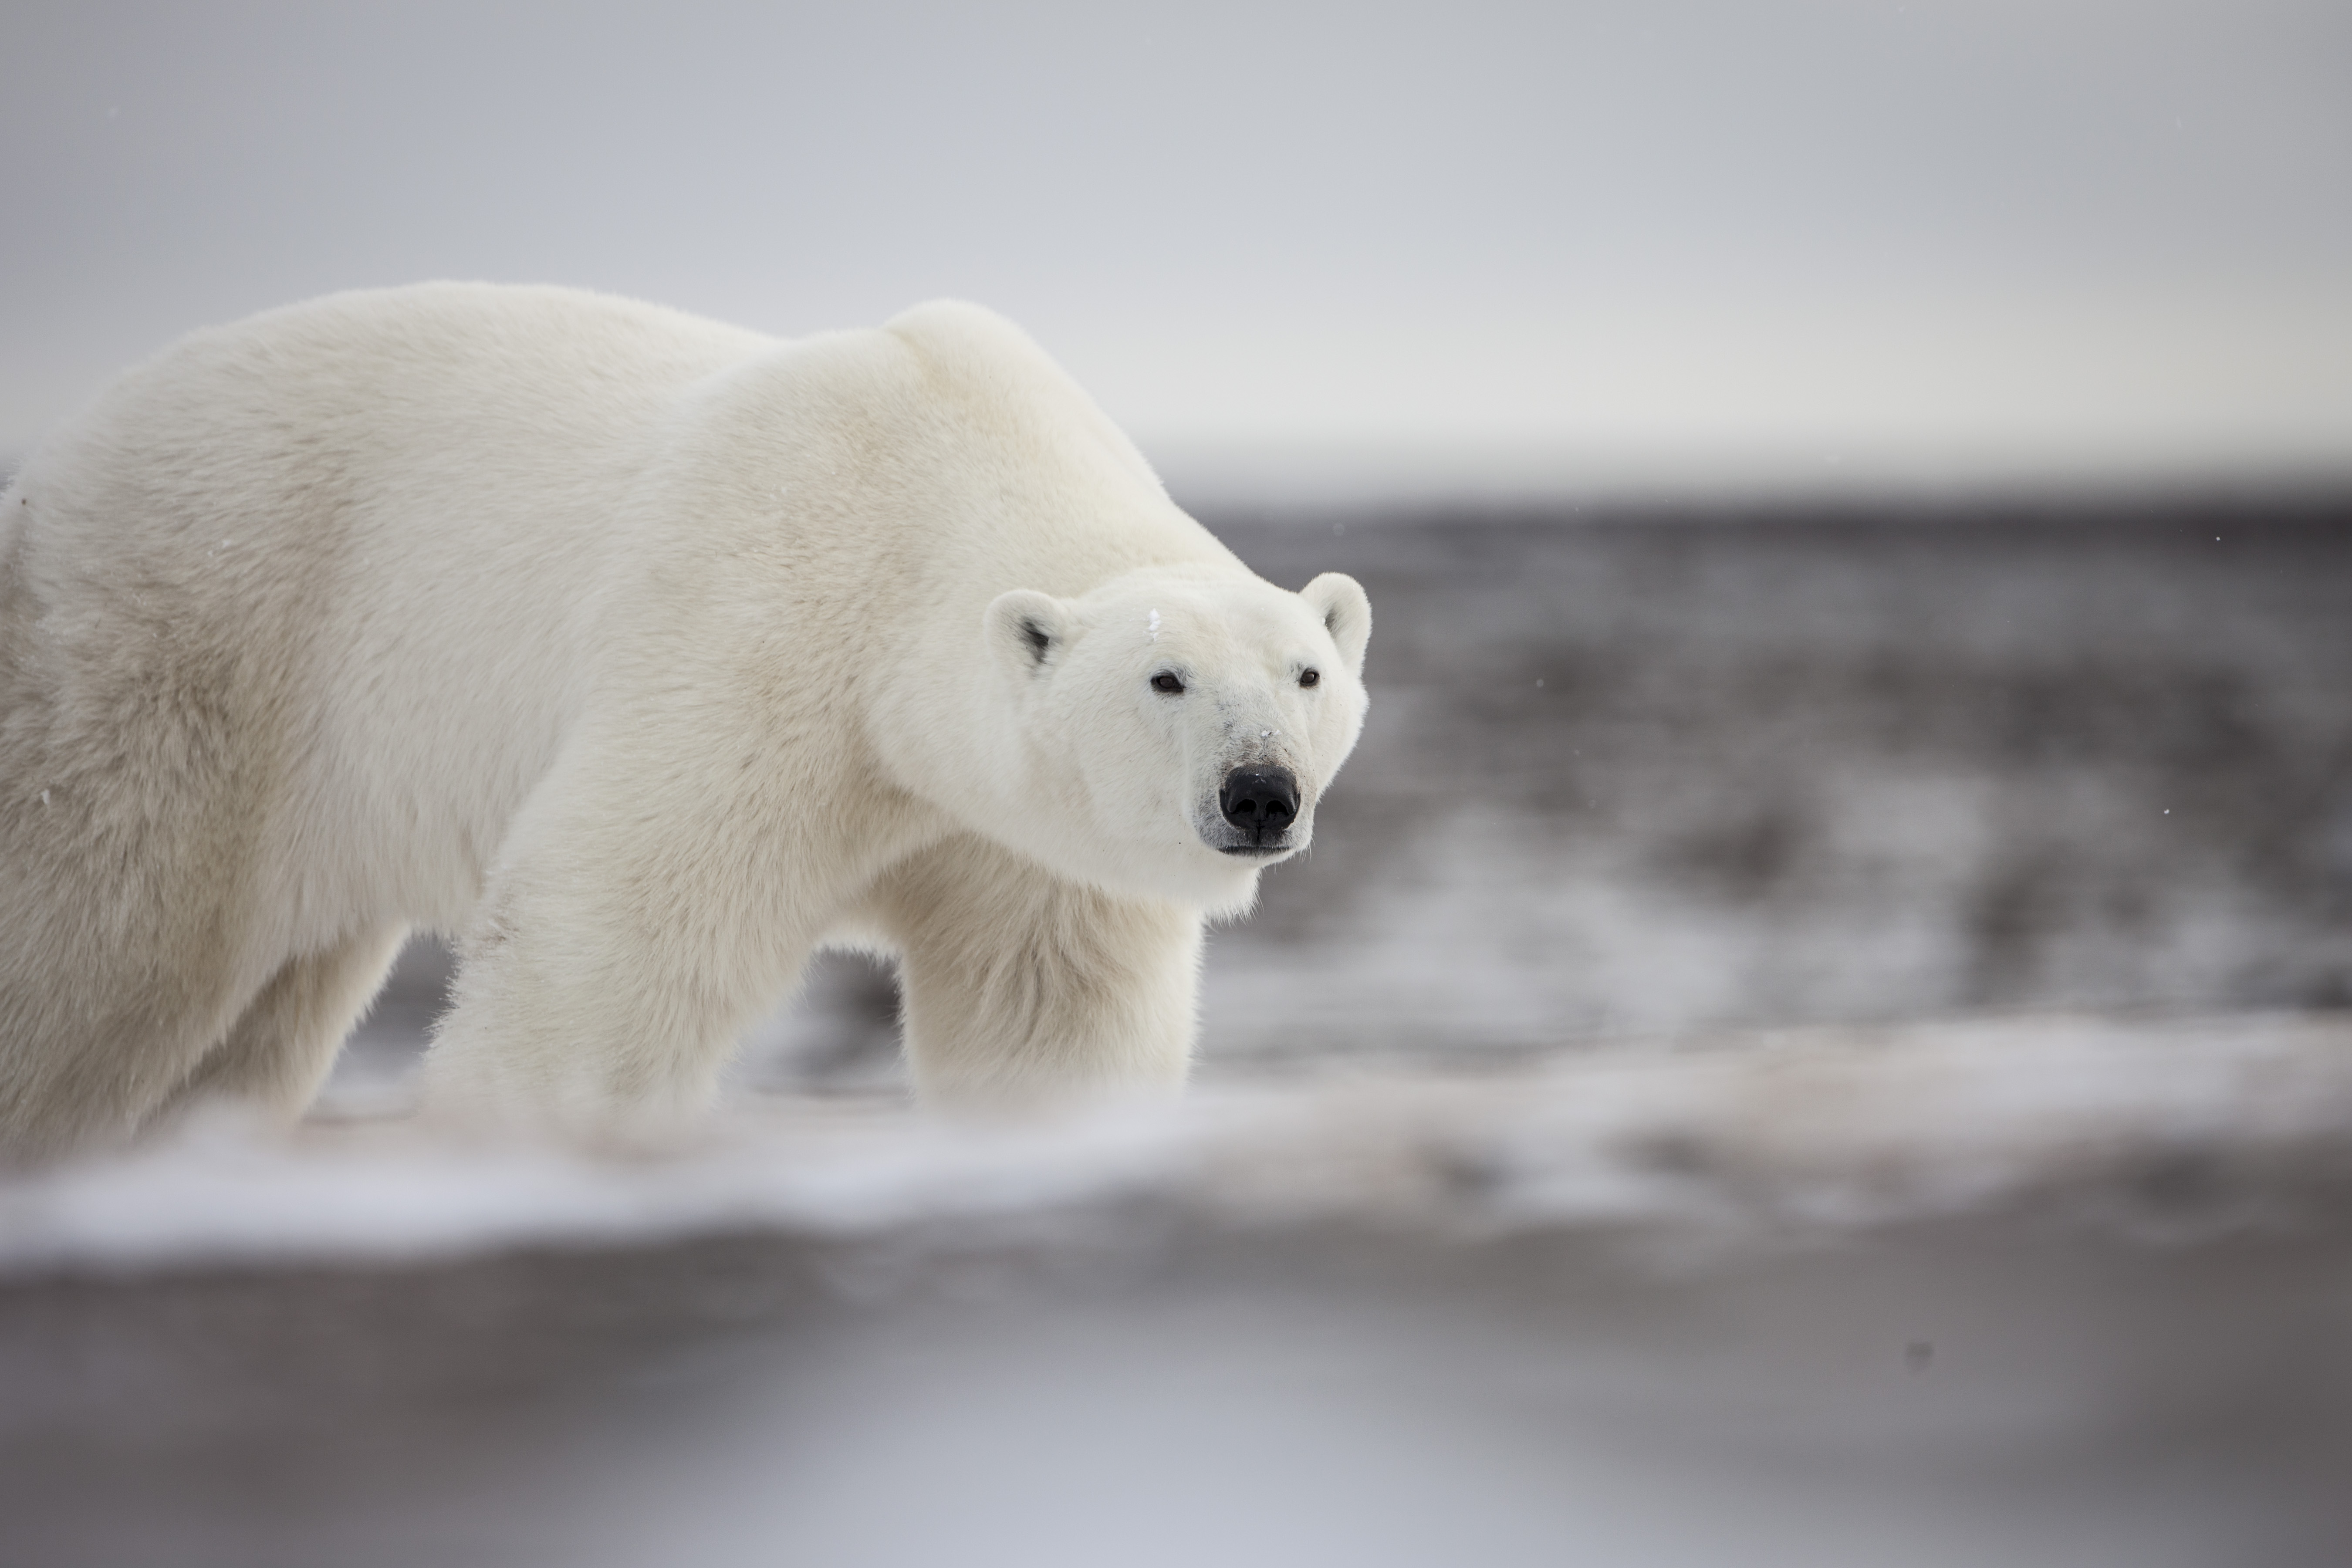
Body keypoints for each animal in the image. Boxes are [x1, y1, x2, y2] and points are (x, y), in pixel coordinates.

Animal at [0, 283, 1370, 1158]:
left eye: (1305, 673)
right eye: (1166, 679)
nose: (1259, 794)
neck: (933, 468)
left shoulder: (1012, 828)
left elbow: (1048, 1006)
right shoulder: (761, 628)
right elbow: (613, 926)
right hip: (179, 661)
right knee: (91, 942)